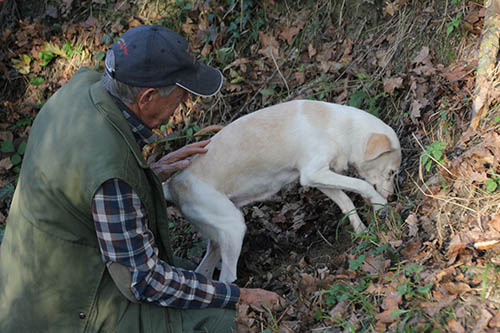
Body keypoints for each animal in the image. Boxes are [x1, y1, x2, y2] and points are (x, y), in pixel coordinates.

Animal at [164, 100, 402, 282]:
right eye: (391, 172)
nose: (393, 196)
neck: (337, 127)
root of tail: (172, 185)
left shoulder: (317, 177)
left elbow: (346, 201)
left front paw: (362, 230)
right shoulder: (314, 172)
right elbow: (361, 185)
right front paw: (380, 203)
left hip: (217, 237)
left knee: (204, 271)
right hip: (233, 227)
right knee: (226, 278)